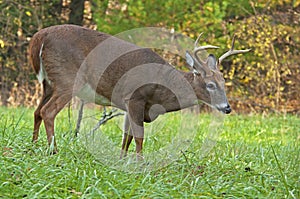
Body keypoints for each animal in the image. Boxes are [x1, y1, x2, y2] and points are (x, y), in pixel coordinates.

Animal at [29, 24, 251, 159]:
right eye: (210, 84)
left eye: (224, 82)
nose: (227, 108)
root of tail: (39, 37)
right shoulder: (135, 96)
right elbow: (138, 136)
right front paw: (139, 163)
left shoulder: (129, 103)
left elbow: (126, 137)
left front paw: (121, 160)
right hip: (67, 79)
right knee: (48, 112)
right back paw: (53, 151)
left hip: (48, 82)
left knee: (37, 111)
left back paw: (33, 144)